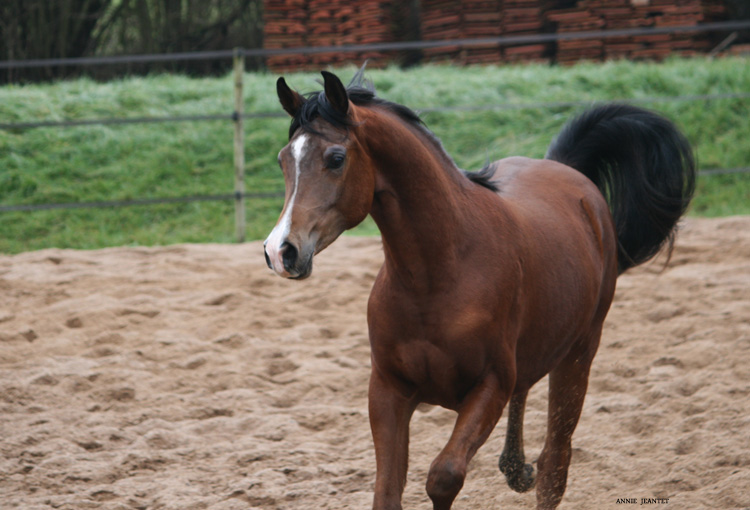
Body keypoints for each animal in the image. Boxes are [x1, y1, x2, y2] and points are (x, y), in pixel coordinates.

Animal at [264, 65, 700, 508]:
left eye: (335, 159)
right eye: (283, 160)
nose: (280, 251)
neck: (438, 275)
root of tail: (569, 175)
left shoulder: (489, 387)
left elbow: (444, 476)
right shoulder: (388, 389)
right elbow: (387, 491)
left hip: (579, 354)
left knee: (555, 463)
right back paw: (515, 467)